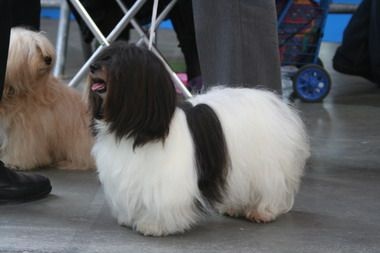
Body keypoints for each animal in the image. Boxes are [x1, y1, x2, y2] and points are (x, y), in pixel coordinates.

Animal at [0, 27, 94, 170]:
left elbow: (21, 145)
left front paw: (15, 162)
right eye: (31, 49)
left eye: (40, 47)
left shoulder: (24, 127)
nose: (48, 59)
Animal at [87, 42, 308, 237]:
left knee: (271, 189)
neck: (133, 128)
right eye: (103, 56)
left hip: (267, 165)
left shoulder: (164, 183)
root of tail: (273, 102)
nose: (93, 66)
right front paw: (129, 219)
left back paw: (263, 211)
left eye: (116, 62)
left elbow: (161, 204)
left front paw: (154, 226)